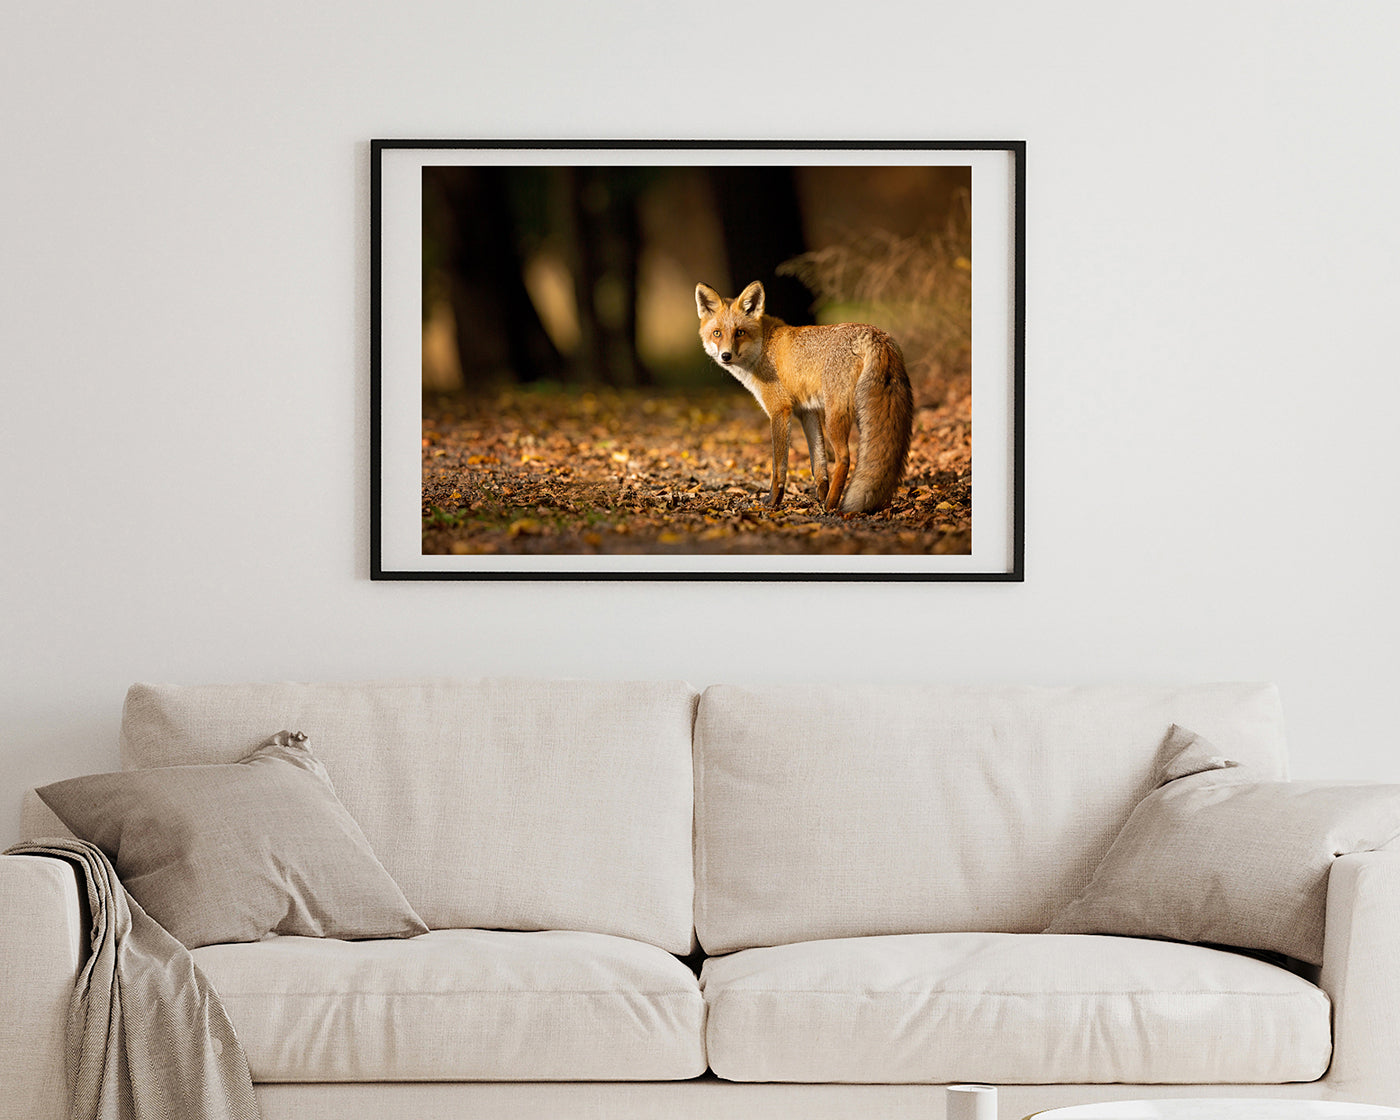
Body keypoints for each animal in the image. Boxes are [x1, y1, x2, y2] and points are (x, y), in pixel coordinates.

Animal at [695, 280, 914, 513]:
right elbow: (818, 464)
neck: (763, 348)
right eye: (717, 333)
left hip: (835, 416)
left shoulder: (780, 410)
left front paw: (774, 501)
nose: (726, 356)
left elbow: (779, 466)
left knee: (844, 458)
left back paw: (831, 504)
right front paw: (819, 495)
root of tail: (875, 334)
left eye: (740, 332)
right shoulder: (807, 411)